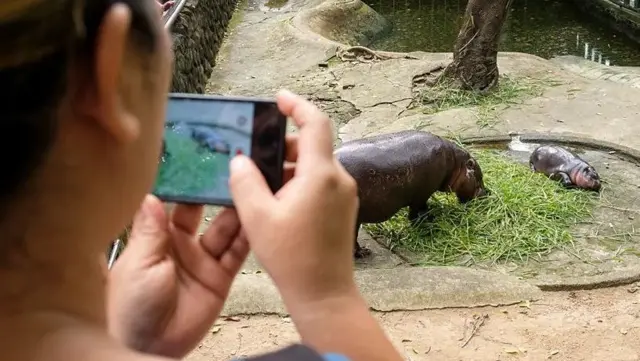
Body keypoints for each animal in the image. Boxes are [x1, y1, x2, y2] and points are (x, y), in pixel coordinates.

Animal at [332, 131, 488, 258]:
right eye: (479, 177)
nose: (487, 193)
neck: (456, 163)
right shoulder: (422, 194)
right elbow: (417, 211)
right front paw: (427, 220)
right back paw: (364, 253)